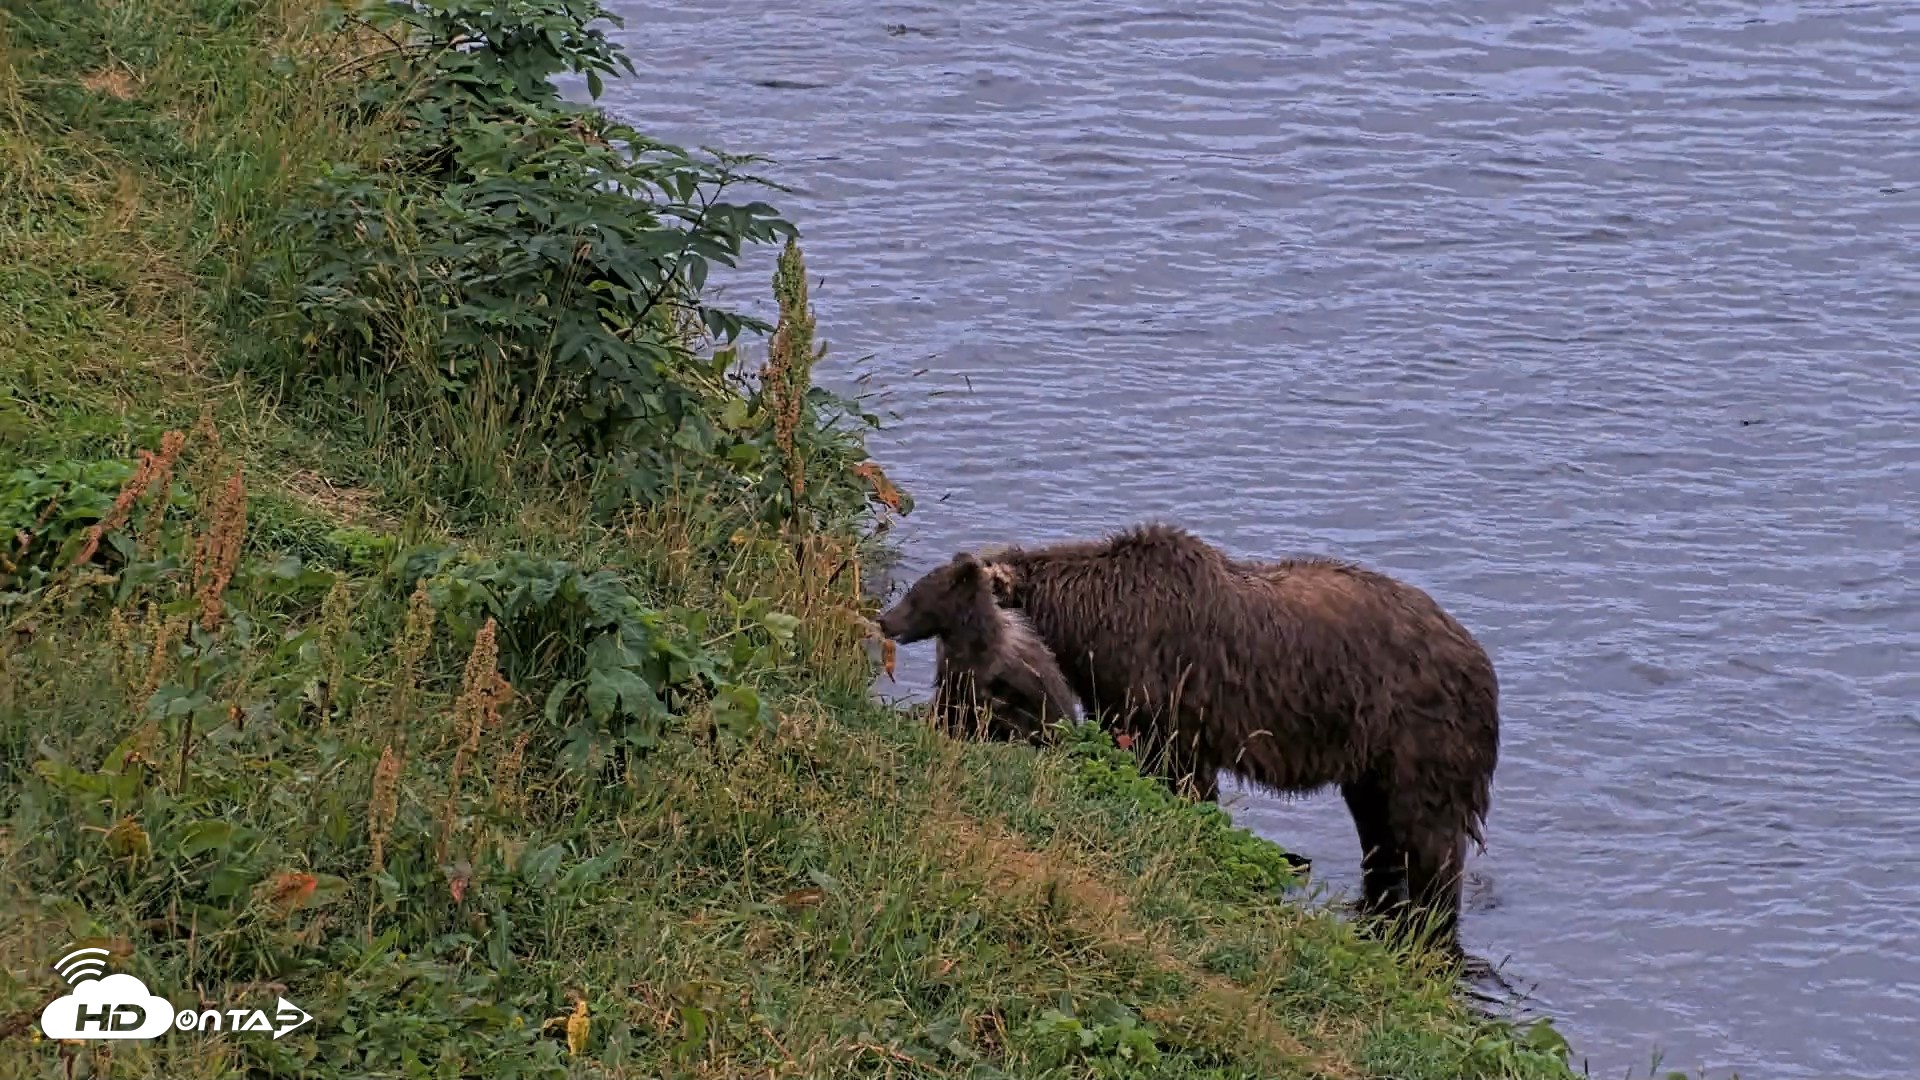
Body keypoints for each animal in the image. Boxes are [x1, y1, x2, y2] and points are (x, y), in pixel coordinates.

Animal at [975, 522, 1500, 955]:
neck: (1091, 622)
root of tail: (1479, 658)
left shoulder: (1169, 691)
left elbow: (1178, 774)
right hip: (1373, 757)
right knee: (1379, 828)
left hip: (1417, 732)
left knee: (1426, 834)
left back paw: (1428, 919)